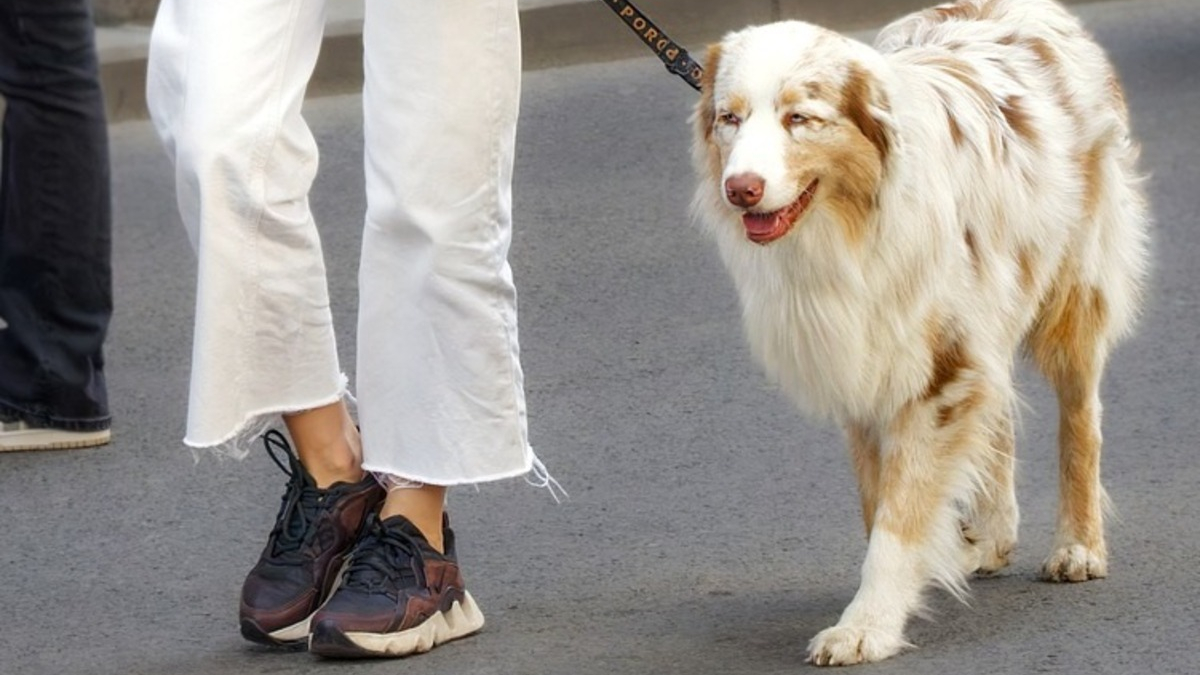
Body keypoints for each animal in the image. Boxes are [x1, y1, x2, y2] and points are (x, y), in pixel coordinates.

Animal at [696, 0, 1152, 662]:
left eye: (799, 118)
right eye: (729, 118)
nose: (740, 189)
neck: (854, 229)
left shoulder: (941, 367)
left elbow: (899, 518)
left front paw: (867, 625)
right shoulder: (867, 365)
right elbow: (879, 504)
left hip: (1073, 287)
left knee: (1080, 419)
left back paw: (1079, 545)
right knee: (999, 416)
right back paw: (991, 533)